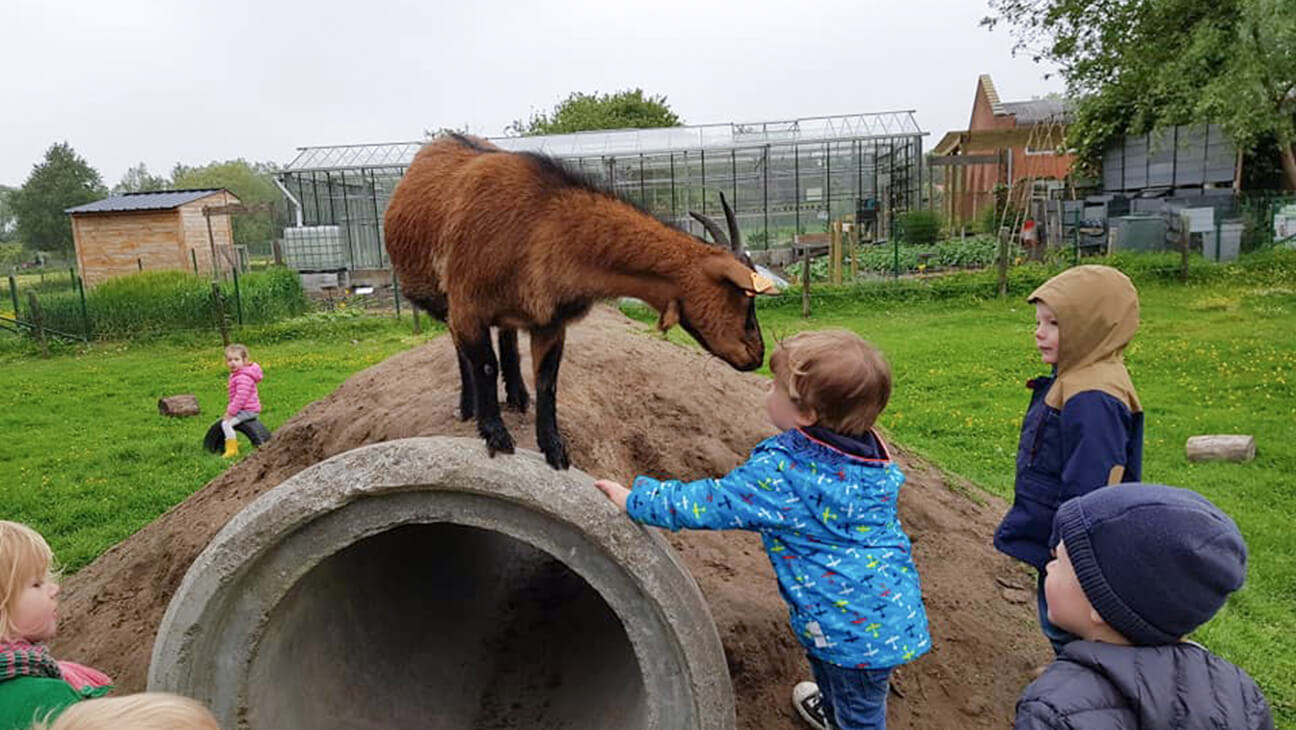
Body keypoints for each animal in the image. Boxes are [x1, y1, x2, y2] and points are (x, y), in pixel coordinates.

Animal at [381, 132, 767, 469]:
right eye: (742, 294)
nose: (757, 354)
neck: (541, 224)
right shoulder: (467, 305)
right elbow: (484, 365)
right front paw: (495, 435)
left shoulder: (551, 321)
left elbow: (548, 381)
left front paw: (554, 448)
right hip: (443, 300)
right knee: (463, 350)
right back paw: (468, 405)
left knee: (507, 337)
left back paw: (518, 396)